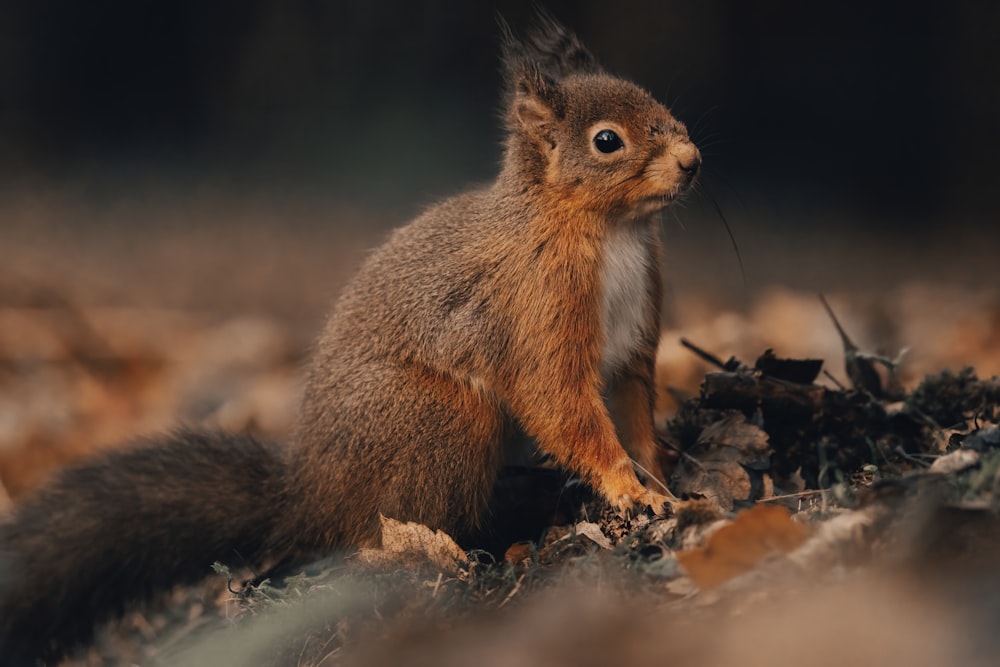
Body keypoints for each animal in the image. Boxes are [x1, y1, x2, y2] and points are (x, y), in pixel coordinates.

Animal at [0, 13, 704, 664]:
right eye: (606, 141)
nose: (692, 161)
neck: (608, 231)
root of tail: (310, 495)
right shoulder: (537, 309)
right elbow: (560, 403)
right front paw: (629, 490)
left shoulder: (632, 344)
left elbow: (631, 409)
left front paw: (664, 478)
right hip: (438, 417)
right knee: (386, 526)